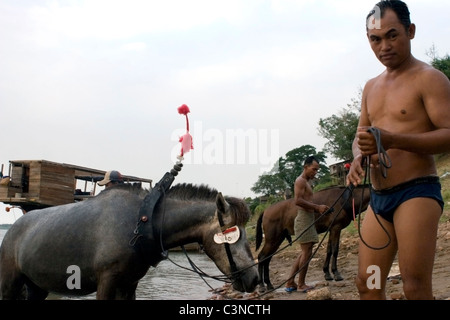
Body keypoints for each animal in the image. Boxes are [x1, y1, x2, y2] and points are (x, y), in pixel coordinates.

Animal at [0, 182, 258, 300]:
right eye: (233, 235)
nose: (254, 278)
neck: (141, 224)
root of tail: (12, 229)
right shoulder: (107, 281)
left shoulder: (129, 284)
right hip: (10, 284)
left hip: (36, 286)